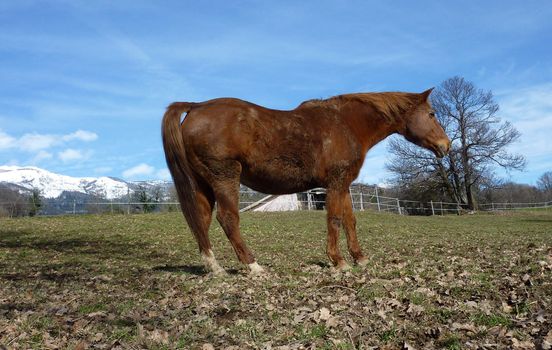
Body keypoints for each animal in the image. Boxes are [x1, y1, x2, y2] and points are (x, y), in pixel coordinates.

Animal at [161, 89, 448, 274]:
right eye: (432, 114)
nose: (446, 145)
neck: (346, 123)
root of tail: (196, 106)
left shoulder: (343, 184)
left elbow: (350, 221)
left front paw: (360, 258)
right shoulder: (335, 183)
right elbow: (334, 220)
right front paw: (338, 262)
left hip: (203, 185)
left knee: (201, 221)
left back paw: (215, 267)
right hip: (224, 178)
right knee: (228, 219)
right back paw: (253, 265)